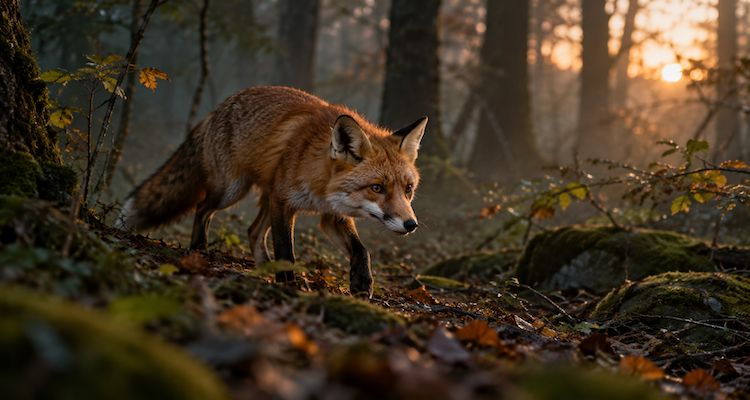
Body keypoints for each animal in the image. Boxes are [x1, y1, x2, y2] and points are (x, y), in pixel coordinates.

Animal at [115, 86, 427, 297]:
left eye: (408, 189)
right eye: (377, 188)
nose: (411, 225)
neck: (321, 182)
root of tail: (218, 108)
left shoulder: (331, 215)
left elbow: (361, 250)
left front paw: (362, 283)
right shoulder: (284, 202)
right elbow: (286, 251)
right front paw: (288, 284)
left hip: (264, 197)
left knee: (253, 231)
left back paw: (262, 267)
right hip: (232, 191)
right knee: (203, 209)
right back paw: (199, 249)